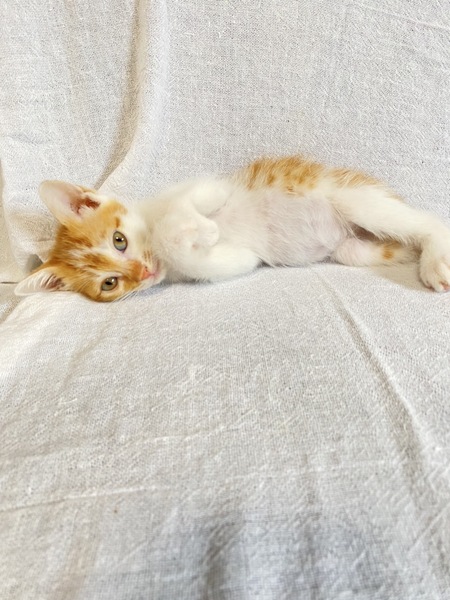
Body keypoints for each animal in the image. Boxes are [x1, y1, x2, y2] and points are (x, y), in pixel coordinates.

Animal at [15, 156, 450, 302]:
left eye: (119, 240)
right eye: (109, 283)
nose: (143, 272)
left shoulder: (208, 187)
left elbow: (191, 209)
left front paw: (201, 228)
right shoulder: (234, 261)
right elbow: (235, 259)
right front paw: (205, 239)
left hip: (354, 198)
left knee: (429, 222)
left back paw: (435, 262)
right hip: (352, 249)